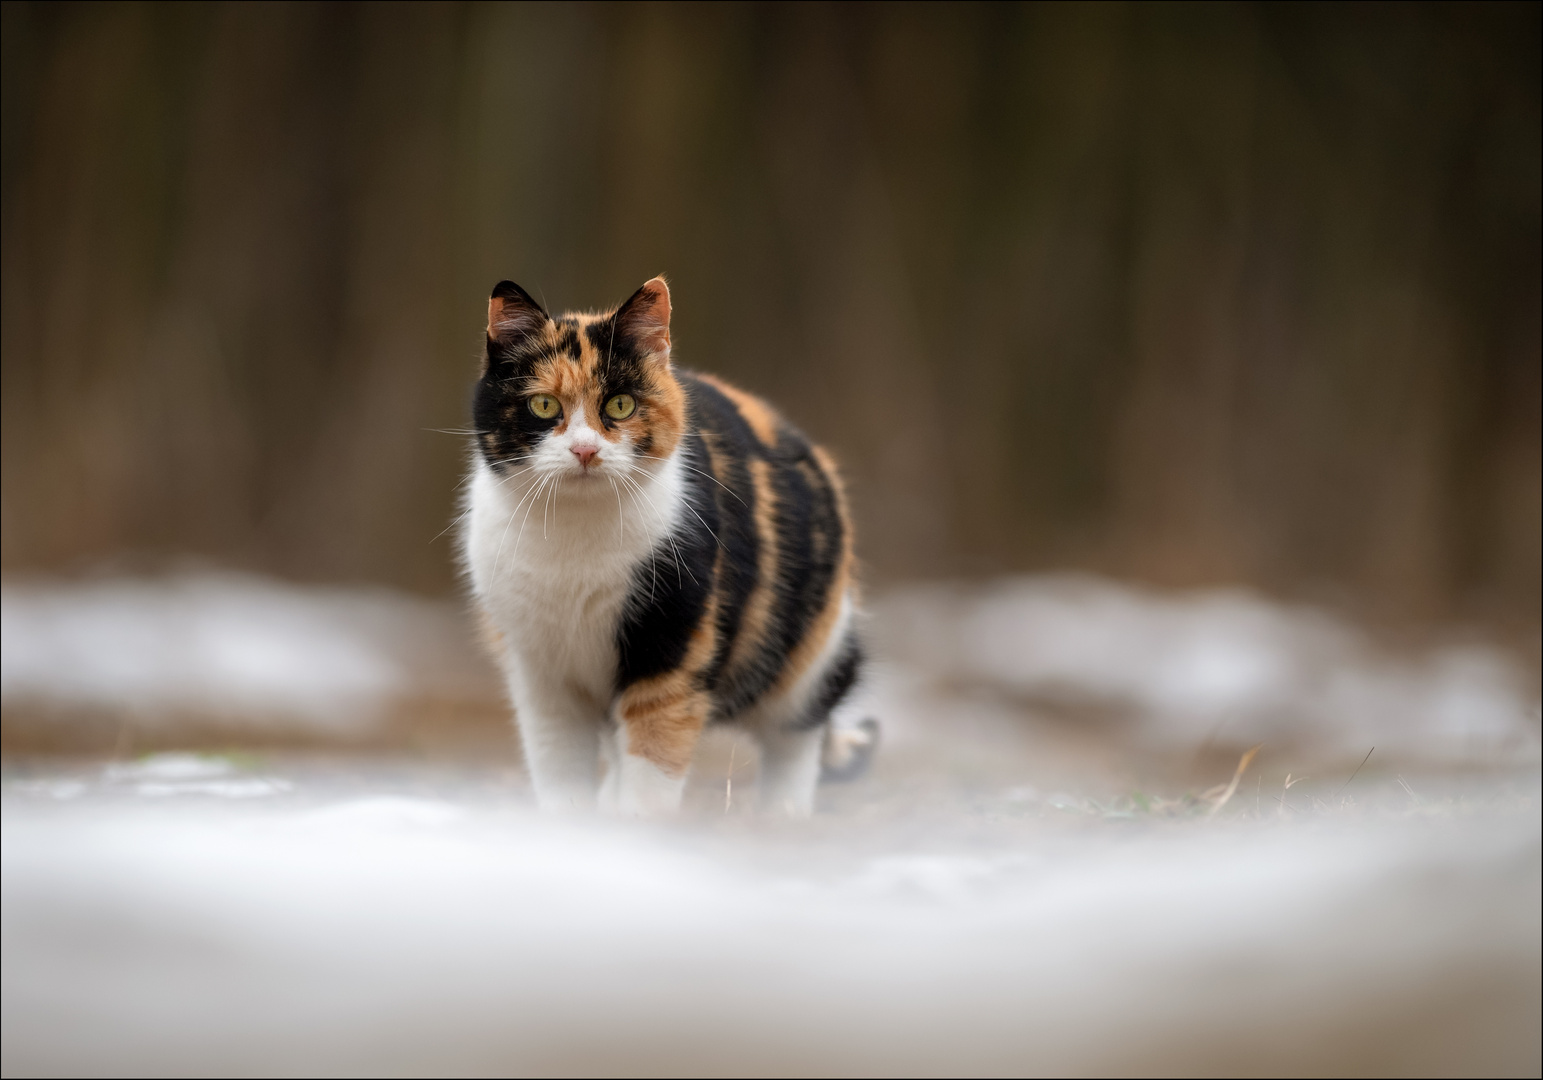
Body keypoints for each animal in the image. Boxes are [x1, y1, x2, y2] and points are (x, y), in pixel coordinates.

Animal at [456, 274, 876, 814]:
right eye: (544, 405)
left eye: (620, 404)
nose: (585, 449)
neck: (573, 545)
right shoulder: (538, 668)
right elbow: (558, 764)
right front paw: (572, 826)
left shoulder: (673, 640)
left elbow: (654, 758)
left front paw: (640, 830)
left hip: (815, 648)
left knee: (797, 735)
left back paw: (780, 816)